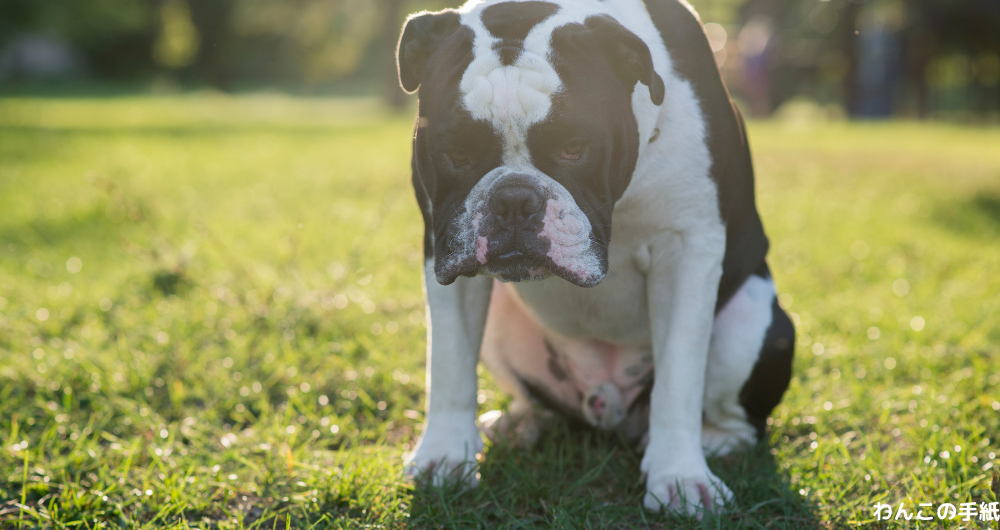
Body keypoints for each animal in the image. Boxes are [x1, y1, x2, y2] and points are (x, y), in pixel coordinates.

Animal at [398, 0, 796, 512]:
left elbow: (680, 377)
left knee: (740, 420)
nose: (513, 199)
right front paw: (445, 455)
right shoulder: (443, 246)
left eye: (574, 148)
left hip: (751, 317)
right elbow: (449, 364)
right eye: (456, 153)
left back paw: (713, 441)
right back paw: (520, 423)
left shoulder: (686, 248)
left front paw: (681, 476)